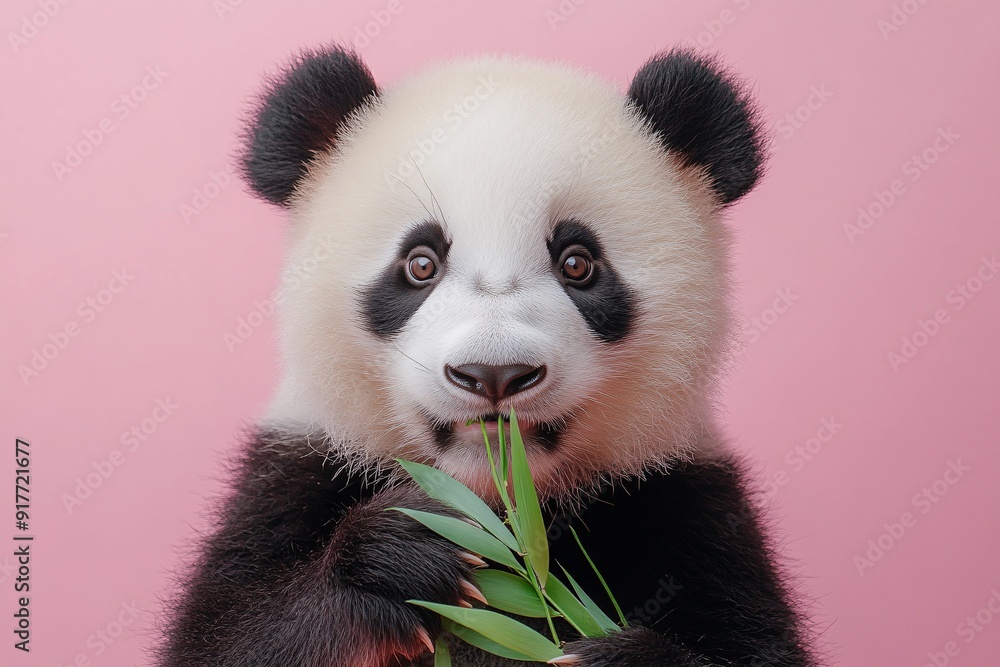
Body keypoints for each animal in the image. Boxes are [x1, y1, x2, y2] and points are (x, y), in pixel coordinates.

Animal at [160, 45, 816, 667]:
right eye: (419, 263)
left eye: (578, 262)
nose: (494, 374)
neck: (503, 503)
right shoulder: (293, 470)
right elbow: (226, 636)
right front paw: (404, 550)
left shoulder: (679, 497)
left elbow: (755, 645)